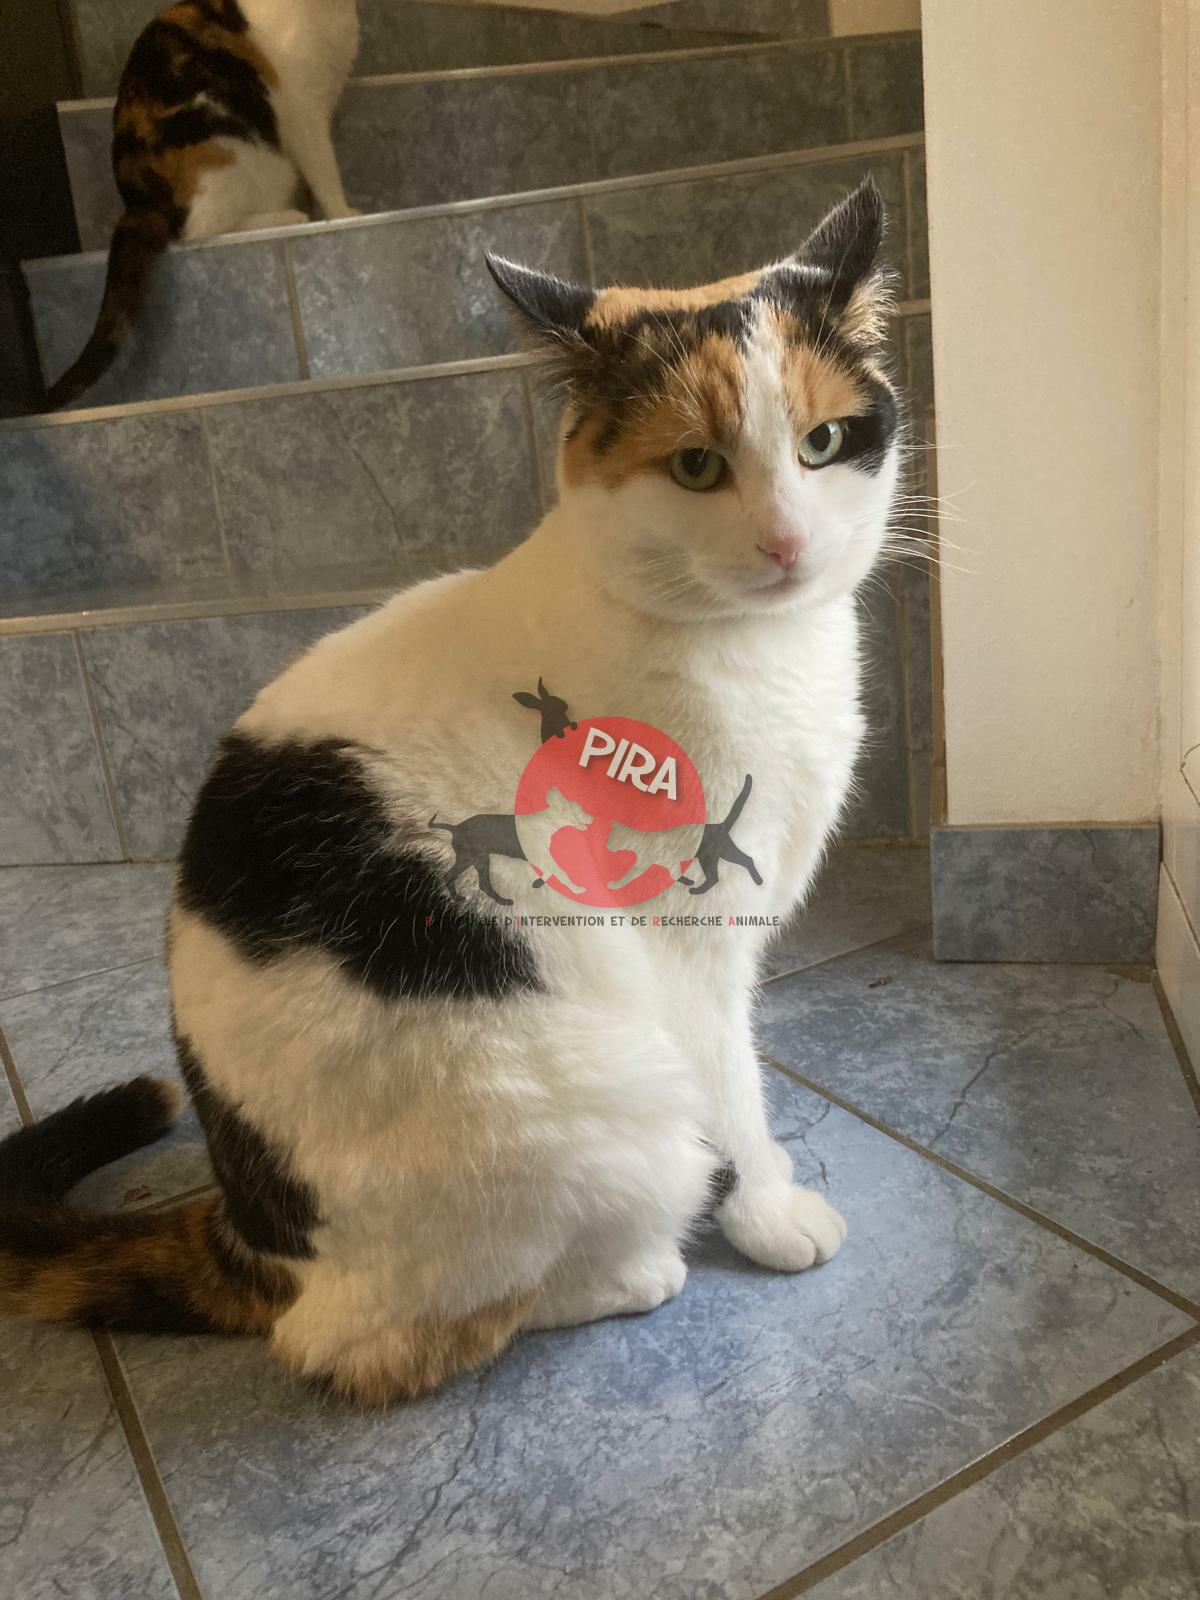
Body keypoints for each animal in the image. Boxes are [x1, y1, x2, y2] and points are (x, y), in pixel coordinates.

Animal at [0, 179, 901, 1407]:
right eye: (696, 468)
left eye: (822, 443)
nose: (786, 542)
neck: (751, 648)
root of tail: (252, 1231)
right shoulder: (690, 944)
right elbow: (734, 1082)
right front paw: (765, 1208)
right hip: (572, 1101)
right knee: (375, 1343)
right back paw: (637, 1266)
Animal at [43, 0, 359, 410]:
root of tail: (137, 203)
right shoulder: (304, 110)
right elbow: (325, 170)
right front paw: (341, 215)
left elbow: (317, 180)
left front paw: (324, 214)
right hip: (227, 147)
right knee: (200, 229)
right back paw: (289, 216)